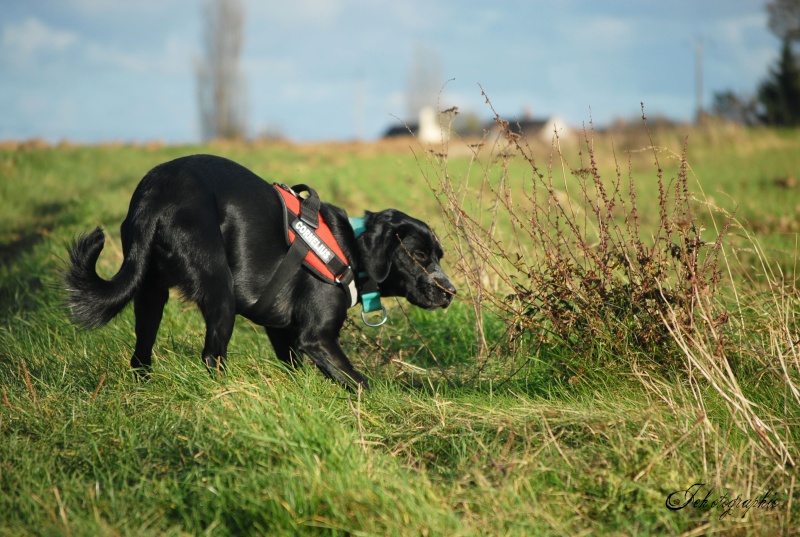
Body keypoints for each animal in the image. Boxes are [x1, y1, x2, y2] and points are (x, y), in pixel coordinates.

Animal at [65, 153, 456, 388]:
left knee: (140, 354)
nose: (451, 292)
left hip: (149, 292)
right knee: (212, 356)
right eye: (419, 256)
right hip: (219, 291)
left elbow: (295, 366)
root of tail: (154, 193)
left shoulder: (281, 332)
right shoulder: (316, 336)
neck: (351, 248)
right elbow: (359, 383)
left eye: (439, 255)